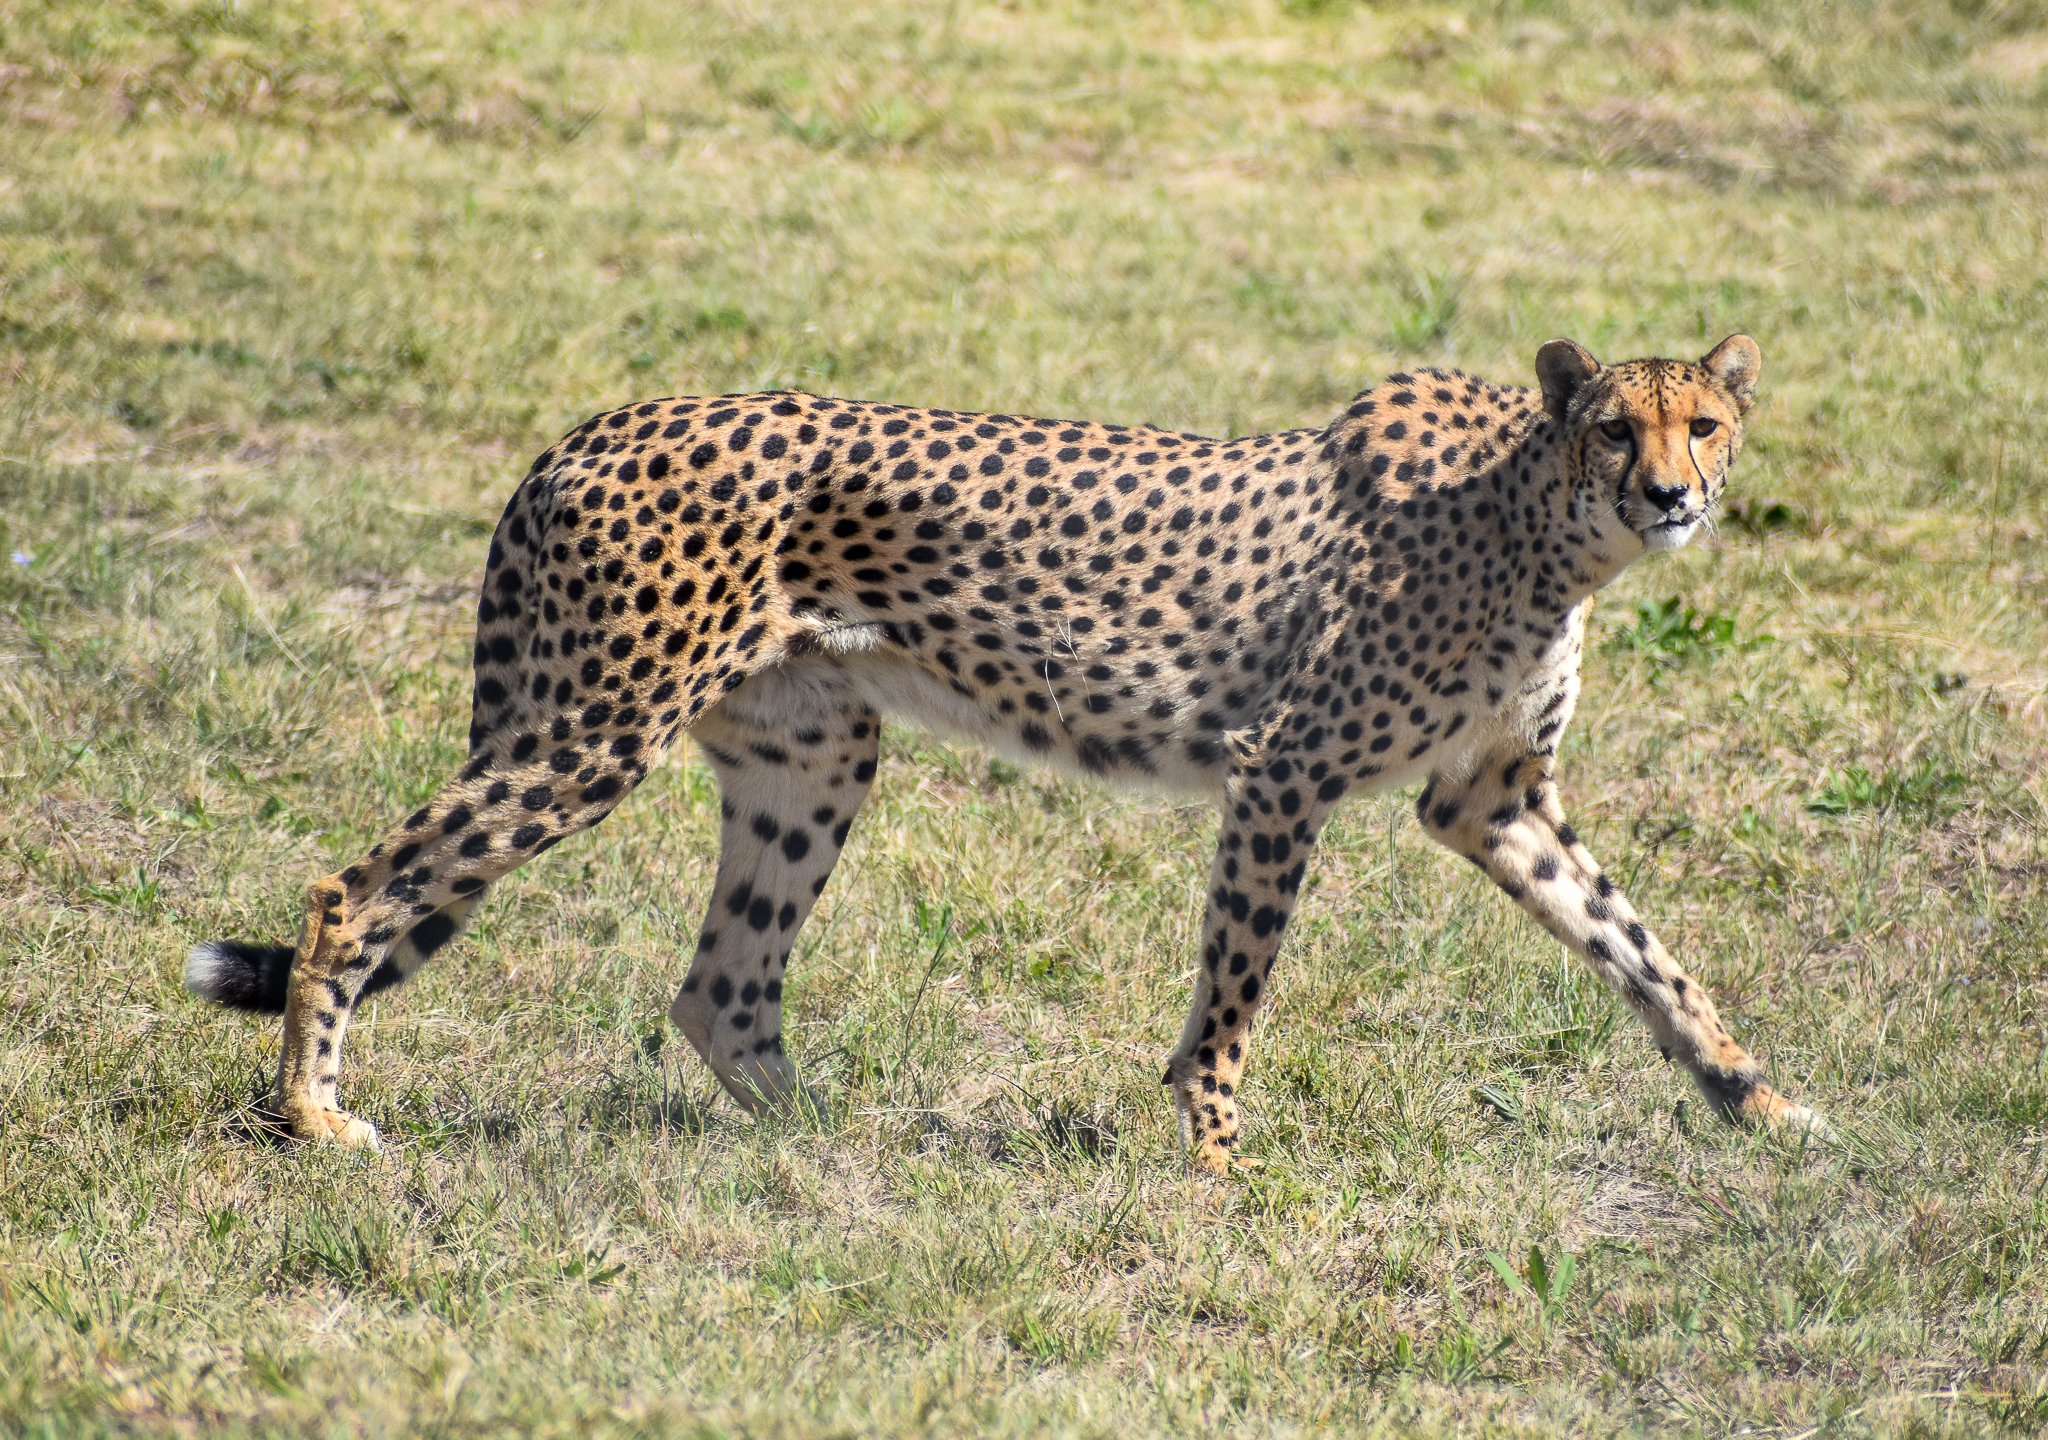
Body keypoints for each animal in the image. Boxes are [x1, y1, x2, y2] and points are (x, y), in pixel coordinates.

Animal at [186, 332, 1827, 1174]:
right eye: (1616, 427)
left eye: (1704, 421)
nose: (1674, 495)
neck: (1540, 523)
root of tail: (593, 423)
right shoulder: (1283, 770)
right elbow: (1235, 991)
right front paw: (1216, 1157)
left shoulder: (1493, 801)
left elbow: (1642, 950)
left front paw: (1755, 1098)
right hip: (595, 730)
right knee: (355, 890)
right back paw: (313, 1115)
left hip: (809, 757)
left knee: (721, 986)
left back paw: (845, 1144)